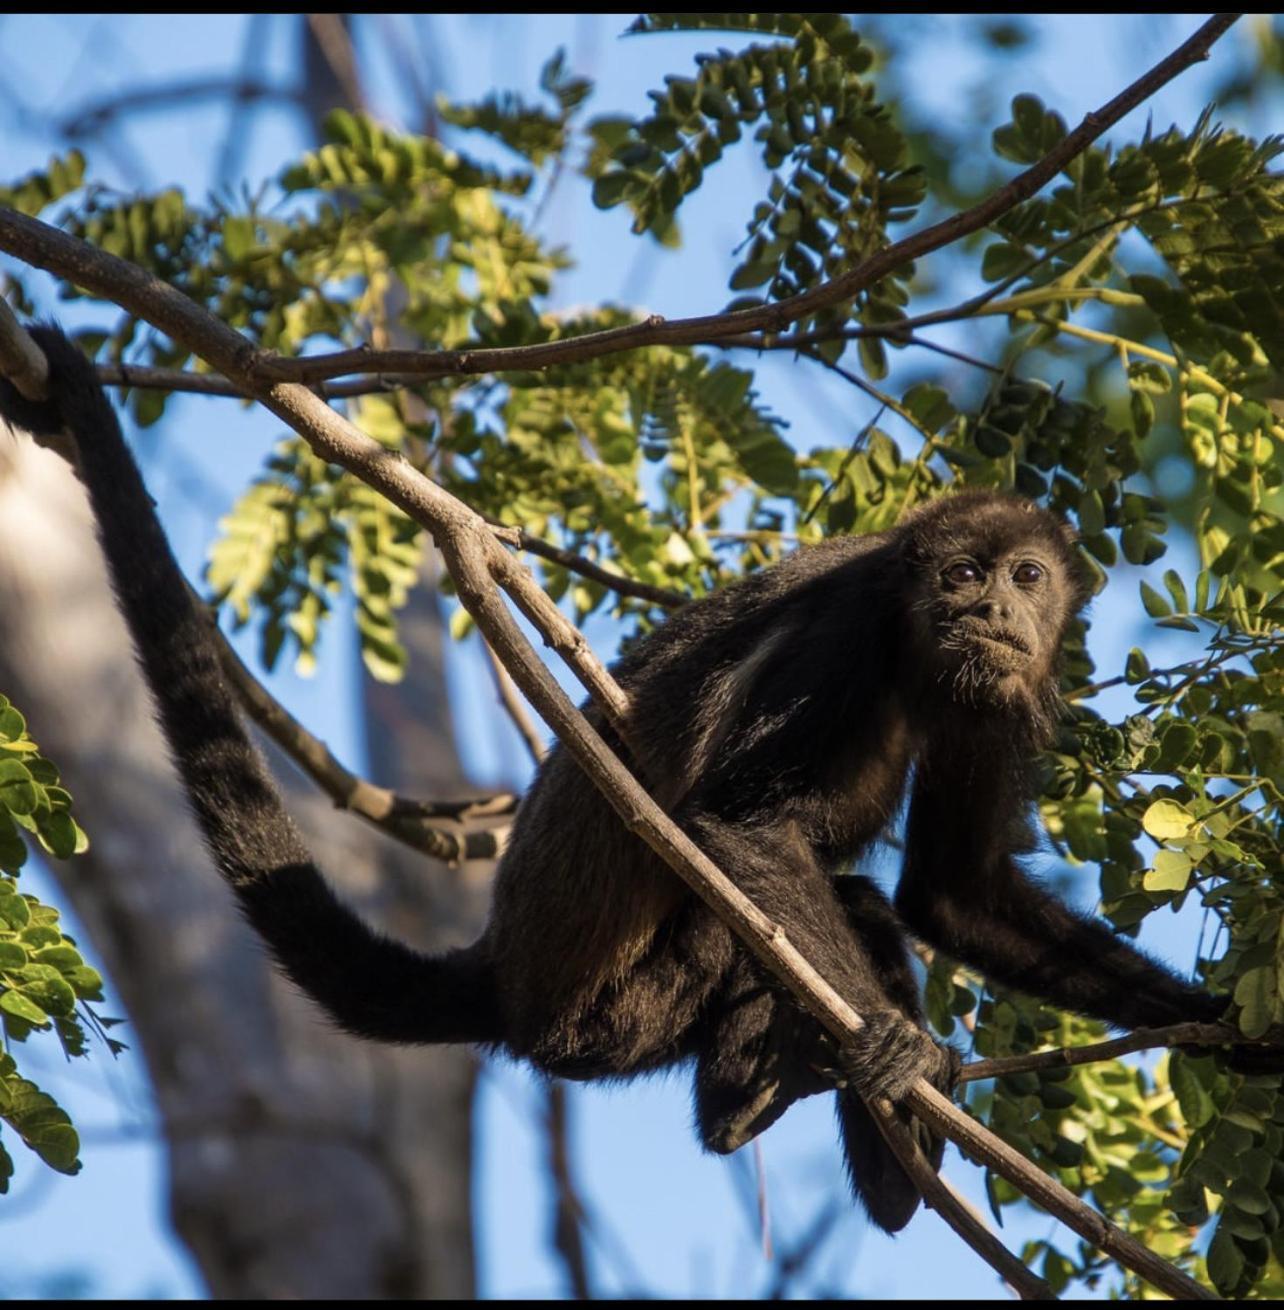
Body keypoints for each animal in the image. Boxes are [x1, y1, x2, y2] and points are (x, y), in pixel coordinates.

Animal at [0, 324, 1247, 1226]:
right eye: (961, 572)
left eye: (1027, 575)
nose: (989, 610)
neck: (911, 646)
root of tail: (506, 978)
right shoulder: (840, 637)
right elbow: (733, 829)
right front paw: (894, 1041)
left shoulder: (994, 695)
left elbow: (955, 892)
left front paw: (1232, 1027)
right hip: (613, 1021)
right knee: (753, 910)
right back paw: (763, 1098)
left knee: (864, 903)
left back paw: (893, 1171)